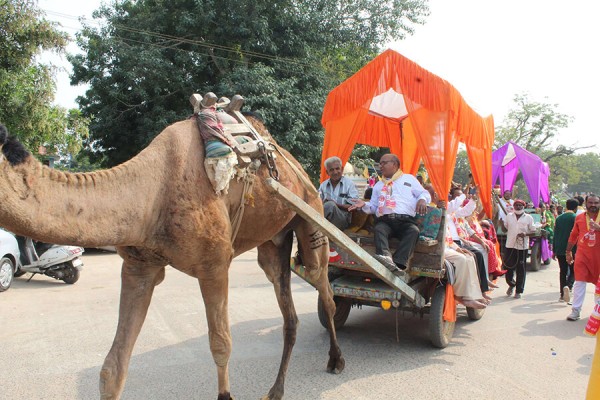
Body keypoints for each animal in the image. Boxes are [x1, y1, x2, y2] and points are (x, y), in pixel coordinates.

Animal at [0, 113, 344, 400]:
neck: (151, 192)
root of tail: (297, 168)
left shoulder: (214, 264)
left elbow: (221, 344)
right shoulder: (139, 266)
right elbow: (112, 368)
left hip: (310, 216)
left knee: (325, 291)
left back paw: (336, 360)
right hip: (274, 242)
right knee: (288, 309)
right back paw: (275, 390)